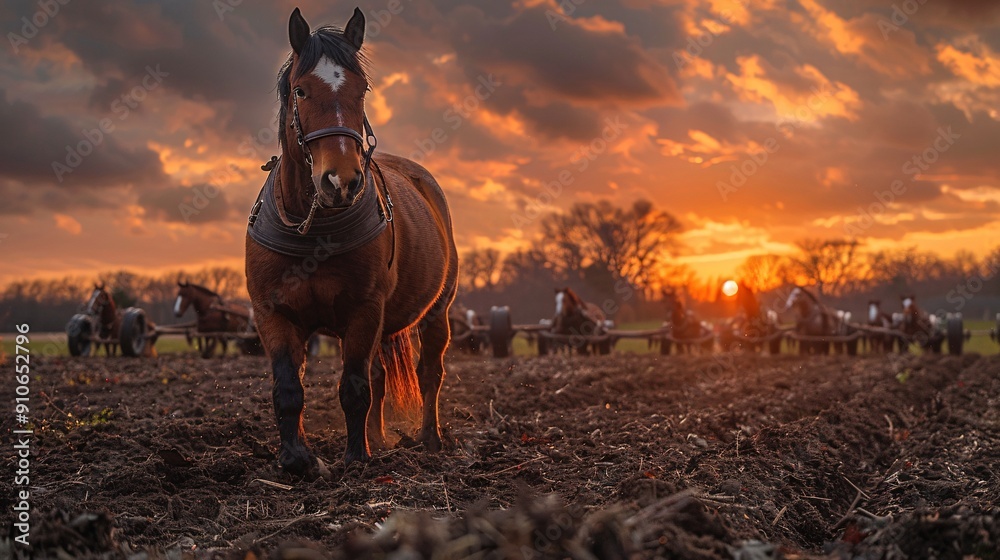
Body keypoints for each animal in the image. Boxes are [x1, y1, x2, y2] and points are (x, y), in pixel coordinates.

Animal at [246, 6, 458, 474]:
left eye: (362, 90)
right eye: (301, 90)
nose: (341, 181)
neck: (312, 231)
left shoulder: (365, 310)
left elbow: (355, 387)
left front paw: (356, 457)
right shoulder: (273, 313)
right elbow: (289, 389)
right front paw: (297, 458)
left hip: (438, 310)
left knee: (429, 373)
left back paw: (429, 439)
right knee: (381, 374)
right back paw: (378, 438)